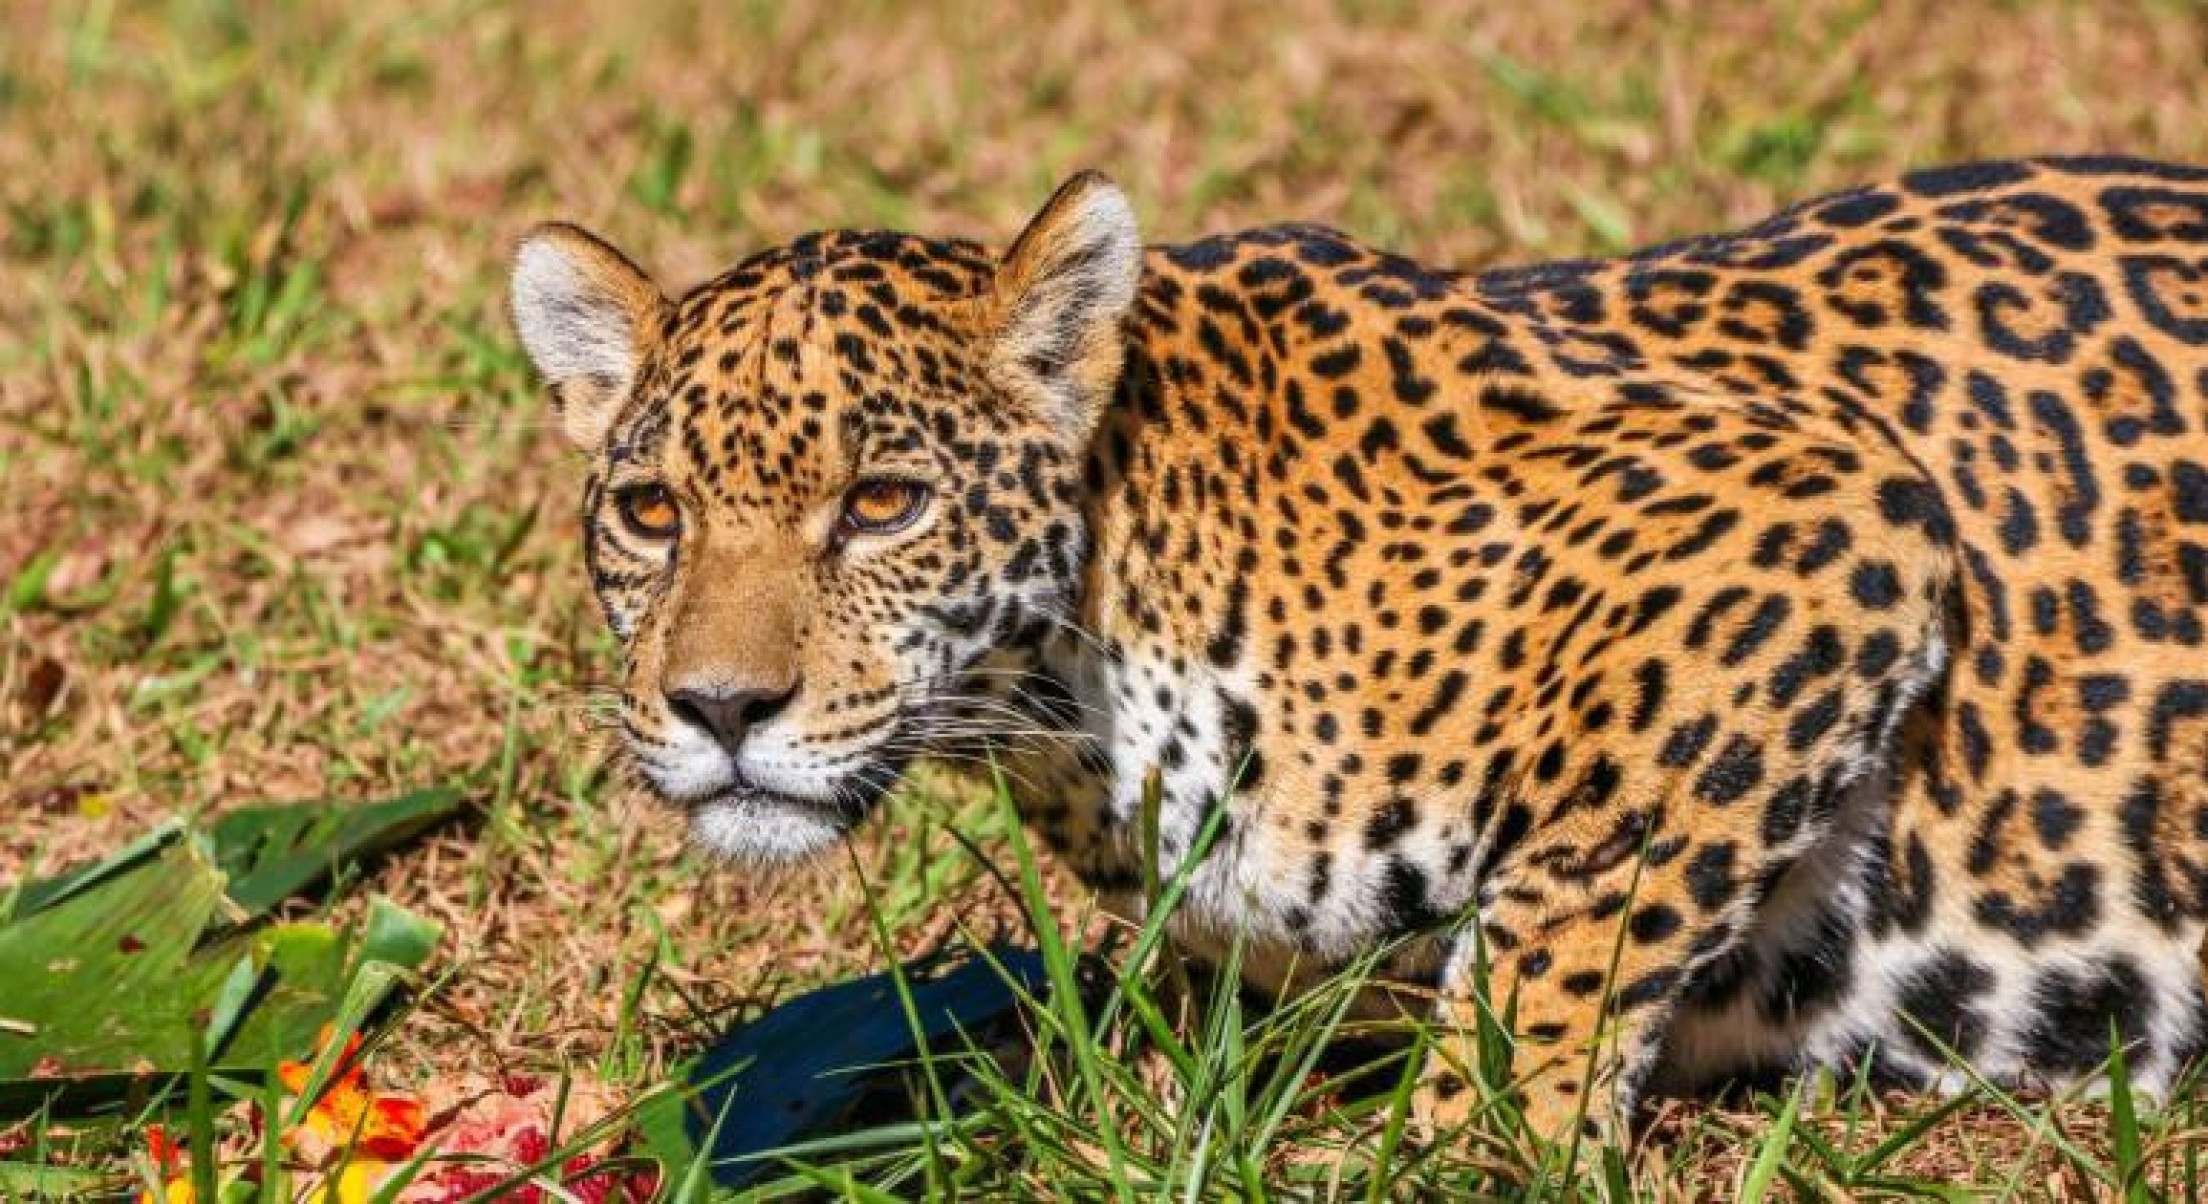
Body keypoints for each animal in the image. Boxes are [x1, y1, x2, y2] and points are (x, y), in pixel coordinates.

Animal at [509, 156, 2208, 1142]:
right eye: (652, 513)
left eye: (883, 503)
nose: (720, 707)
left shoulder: (1828, 517)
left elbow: (1568, 923)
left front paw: (1482, 1139)